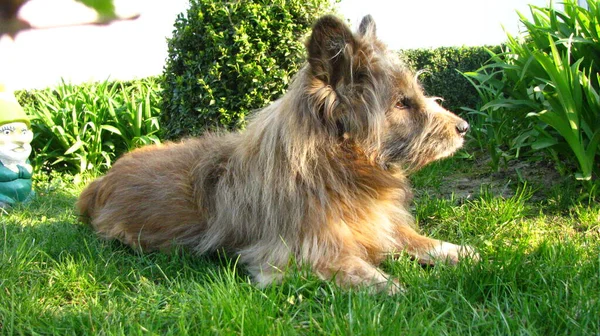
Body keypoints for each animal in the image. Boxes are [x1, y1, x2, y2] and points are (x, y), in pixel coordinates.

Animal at [77, 15, 478, 294]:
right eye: (402, 103)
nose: (464, 127)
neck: (336, 164)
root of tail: (99, 183)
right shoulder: (294, 254)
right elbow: (358, 269)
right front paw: (395, 288)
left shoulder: (377, 225)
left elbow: (412, 239)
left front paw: (456, 251)